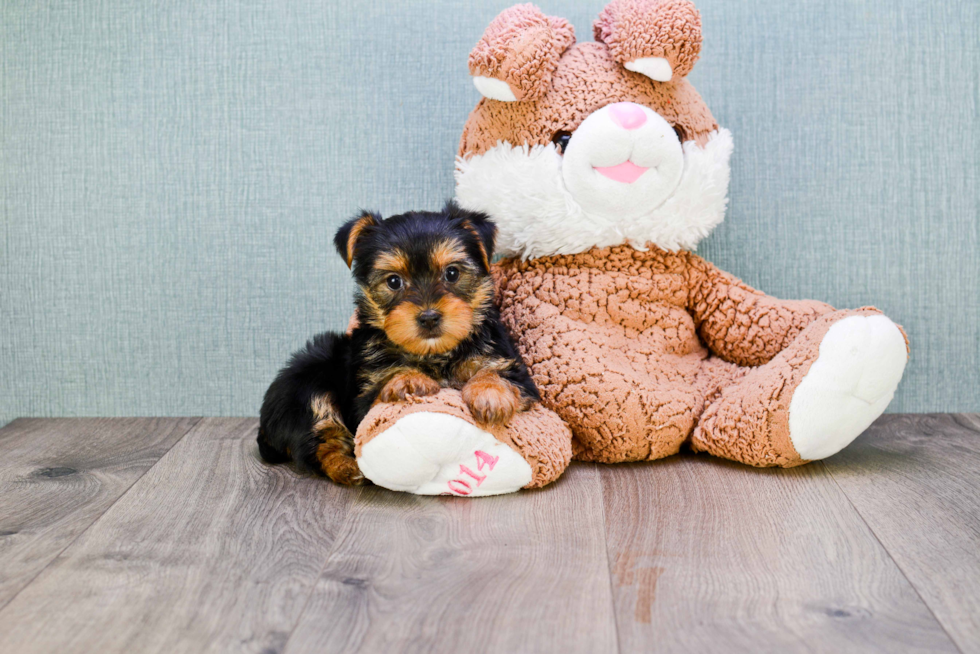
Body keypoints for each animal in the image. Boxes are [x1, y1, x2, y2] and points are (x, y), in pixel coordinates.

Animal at [255, 204, 536, 486]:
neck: (433, 353)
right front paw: (407, 379)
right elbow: (381, 388)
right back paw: (347, 467)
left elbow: (499, 373)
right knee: (321, 439)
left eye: (452, 273)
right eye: (393, 281)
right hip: (307, 388)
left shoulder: (511, 366)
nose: (429, 317)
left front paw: (490, 393)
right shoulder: (362, 398)